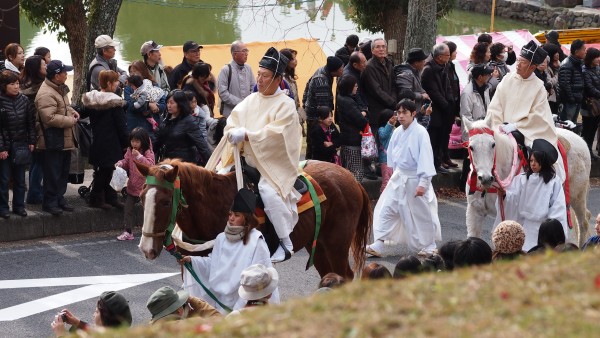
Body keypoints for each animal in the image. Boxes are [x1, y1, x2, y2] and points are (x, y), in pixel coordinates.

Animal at [135, 160, 370, 278]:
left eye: (165, 202)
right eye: (141, 197)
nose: (146, 249)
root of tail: (351, 177)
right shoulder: (192, 264)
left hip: (336, 245)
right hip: (319, 246)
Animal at [464, 118, 592, 246]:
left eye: (493, 145)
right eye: (471, 147)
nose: (485, 178)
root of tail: (581, 139)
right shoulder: (474, 212)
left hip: (577, 194)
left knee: (583, 222)